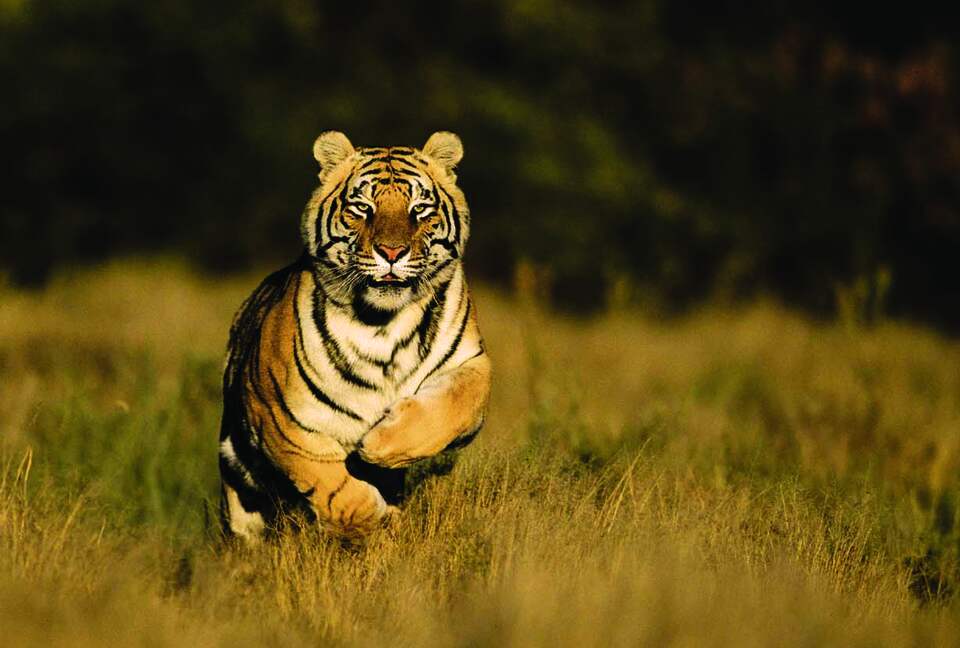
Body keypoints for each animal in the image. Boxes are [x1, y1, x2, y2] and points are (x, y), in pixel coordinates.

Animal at [217, 131, 491, 542]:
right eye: (363, 208)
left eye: (419, 210)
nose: (392, 252)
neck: (384, 322)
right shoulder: (280, 418)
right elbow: (334, 487)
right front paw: (380, 519)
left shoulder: (472, 363)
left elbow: (452, 407)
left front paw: (379, 444)